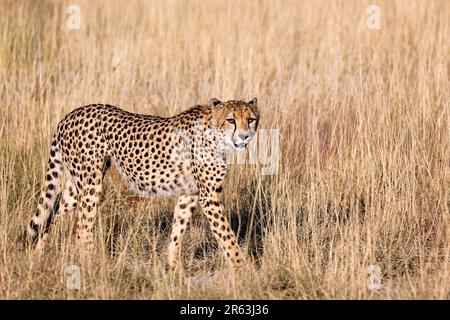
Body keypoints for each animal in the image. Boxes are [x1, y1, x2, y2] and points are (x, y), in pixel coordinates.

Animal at [27, 97, 260, 270]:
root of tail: (71, 114)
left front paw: (174, 269)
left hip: (76, 188)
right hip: (91, 184)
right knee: (81, 228)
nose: (244, 137)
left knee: (51, 214)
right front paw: (243, 268)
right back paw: (92, 264)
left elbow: (178, 230)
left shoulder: (189, 194)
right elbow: (226, 235)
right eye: (231, 120)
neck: (216, 136)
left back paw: (37, 255)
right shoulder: (209, 196)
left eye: (250, 120)